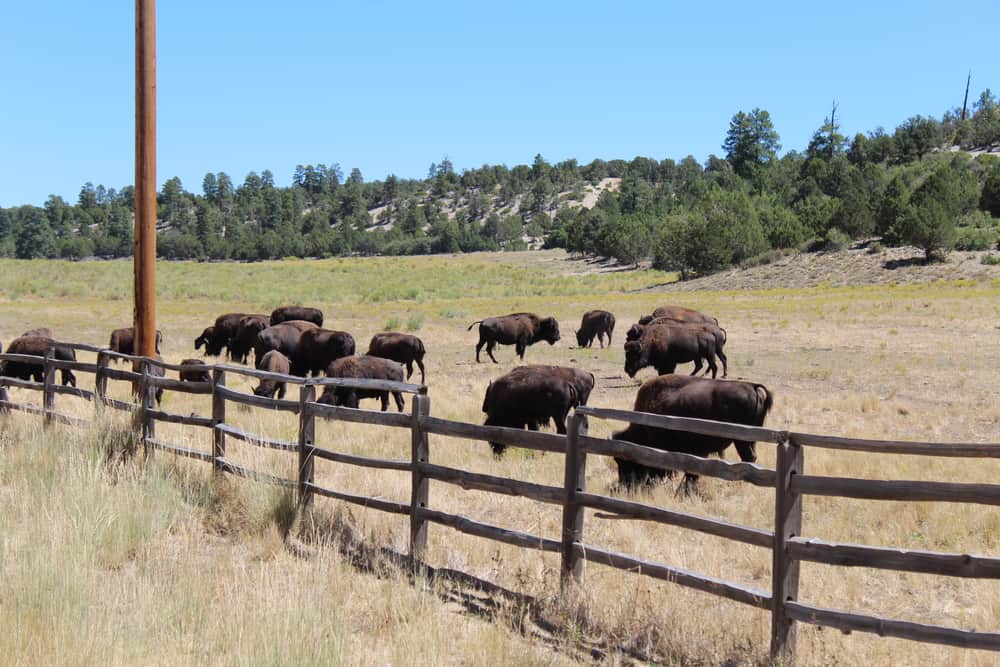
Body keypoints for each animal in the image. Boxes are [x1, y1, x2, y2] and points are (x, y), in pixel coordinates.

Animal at [612, 374, 773, 493]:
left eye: (623, 460)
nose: (623, 485)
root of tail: (752, 386)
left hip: (741, 441)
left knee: (748, 458)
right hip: (751, 440)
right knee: (751, 458)